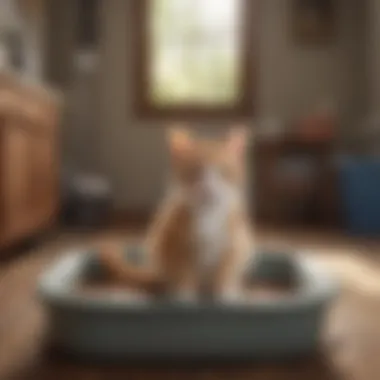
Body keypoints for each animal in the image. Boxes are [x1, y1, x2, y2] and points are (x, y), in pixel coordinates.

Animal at [98, 127, 252, 302]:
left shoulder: (233, 244)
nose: (208, 188)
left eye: (224, 171)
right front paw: (183, 298)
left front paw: (226, 296)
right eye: (194, 170)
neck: (207, 215)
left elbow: (225, 273)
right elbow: (184, 276)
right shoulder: (176, 244)